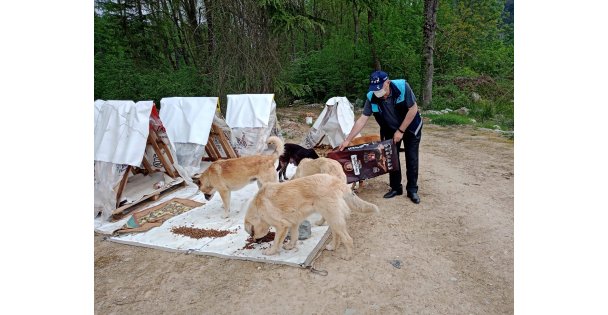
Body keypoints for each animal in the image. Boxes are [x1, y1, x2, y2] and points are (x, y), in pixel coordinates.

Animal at [243, 174, 378, 260]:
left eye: (252, 233)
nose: (255, 241)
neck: (258, 206)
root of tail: (337, 182)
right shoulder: (293, 223)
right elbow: (294, 236)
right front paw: (291, 246)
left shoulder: (281, 226)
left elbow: (276, 242)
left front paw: (271, 251)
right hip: (331, 217)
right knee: (336, 234)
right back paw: (333, 247)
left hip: (333, 217)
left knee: (348, 239)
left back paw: (348, 256)